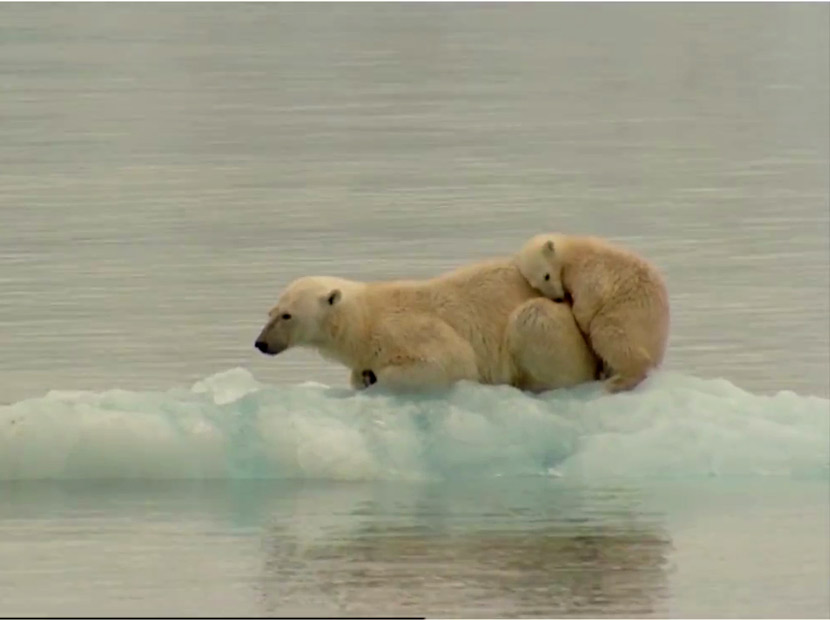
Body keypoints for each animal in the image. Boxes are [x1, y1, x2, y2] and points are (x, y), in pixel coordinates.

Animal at [254, 256, 600, 392]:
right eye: (270, 312)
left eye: (287, 315)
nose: (261, 343)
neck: (364, 320)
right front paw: (363, 376)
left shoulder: (406, 329)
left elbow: (452, 361)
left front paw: (377, 377)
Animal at [516, 232, 672, 392]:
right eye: (534, 285)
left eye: (546, 276)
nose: (557, 298)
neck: (571, 251)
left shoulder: (590, 269)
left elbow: (591, 294)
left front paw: (582, 322)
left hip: (629, 315)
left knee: (609, 334)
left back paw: (618, 381)